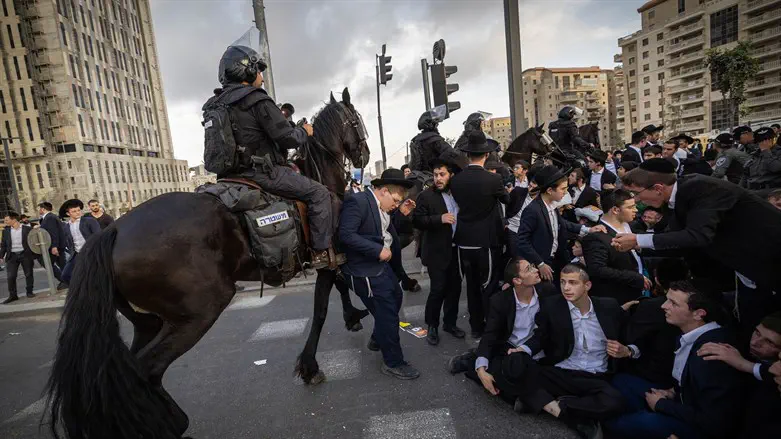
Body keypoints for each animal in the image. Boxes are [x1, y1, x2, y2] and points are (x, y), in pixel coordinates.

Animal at [45, 87, 372, 438]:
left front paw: (353, 317)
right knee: (147, 369)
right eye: (356, 120)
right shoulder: (328, 253)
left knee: (125, 372)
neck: (317, 177)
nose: (365, 156)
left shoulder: (330, 257)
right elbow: (323, 307)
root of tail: (113, 230)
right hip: (200, 310)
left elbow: (341, 285)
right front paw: (310, 365)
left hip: (148, 321)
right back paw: (172, 423)